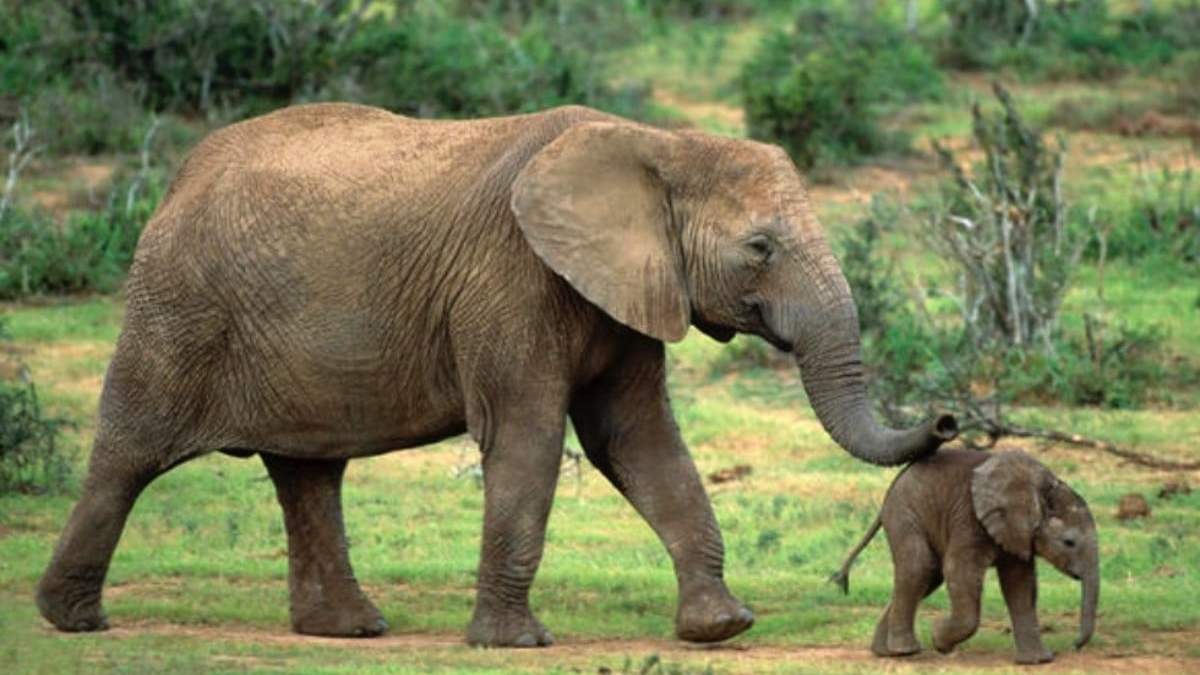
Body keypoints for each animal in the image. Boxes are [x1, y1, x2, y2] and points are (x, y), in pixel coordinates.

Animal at [36, 102, 958, 647]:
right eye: (760, 247)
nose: (949, 421)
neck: (654, 142)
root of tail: (174, 180)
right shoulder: (510, 278)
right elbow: (530, 436)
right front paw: (513, 642)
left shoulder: (622, 285)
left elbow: (639, 442)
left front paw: (722, 627)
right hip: (177, 306)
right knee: (130, 451)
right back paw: (73, 621)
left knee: (309, 471)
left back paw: (348, 630)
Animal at [830, 448, 1099, 664]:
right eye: (1069, 542)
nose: (1074, 646)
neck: (1042, 488)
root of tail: (892, 487)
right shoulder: (970, 518)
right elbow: (959, 570)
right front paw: (939, 641)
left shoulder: (1015, 531)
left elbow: (1021, 584)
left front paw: (1038, 662)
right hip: (904, 512)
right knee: (920, 567)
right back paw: (905, 651)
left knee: (928, 576)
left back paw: (885, 652)